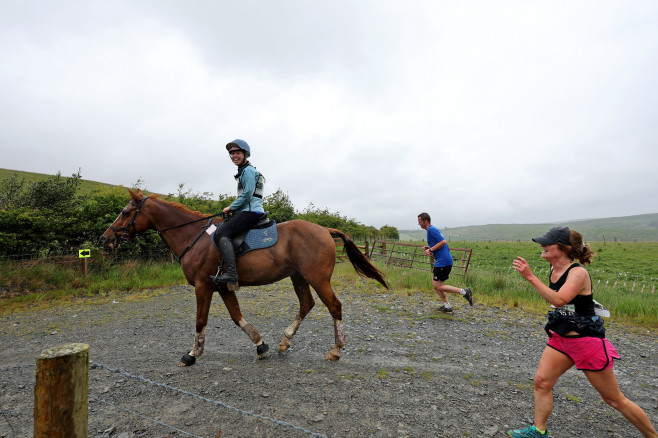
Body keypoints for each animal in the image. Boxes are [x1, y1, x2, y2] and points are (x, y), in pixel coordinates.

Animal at [100, 190, 386, 364]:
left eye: (125, 212)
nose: (105, 239)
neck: (193, 236)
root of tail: (324, 230)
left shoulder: (203, 287)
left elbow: (200, 320)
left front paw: (192, 354)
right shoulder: (223, 288)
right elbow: (237, 317)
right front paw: (260, 345)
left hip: (318, 279)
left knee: (334, 306)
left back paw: (336, 349)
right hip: (298, 277)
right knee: (307, 304)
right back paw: (285, 342)